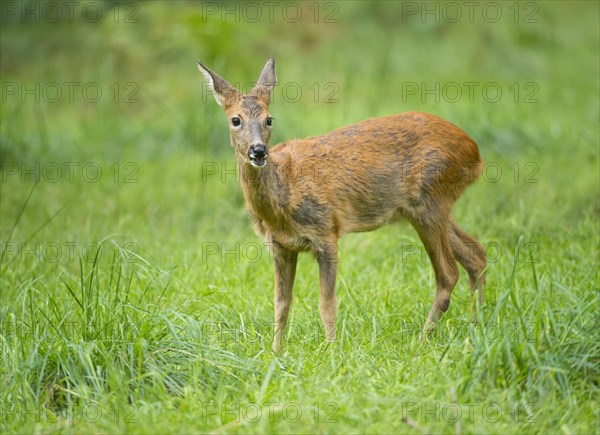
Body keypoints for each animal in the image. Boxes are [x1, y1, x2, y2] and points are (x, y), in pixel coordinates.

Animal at [198, 58, 488, 352]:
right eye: (236, 120)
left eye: (269, 119)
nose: (258, 151)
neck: (283, 199)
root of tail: (475, 153)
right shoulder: (281, 247)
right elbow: (281, 304)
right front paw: (275, 352)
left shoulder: (326, 232)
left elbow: (327, 304)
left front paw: (331, 350)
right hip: (428, 208)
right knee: (476, 254)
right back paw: (477, 326)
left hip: (429, 201)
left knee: (448, 273)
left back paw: (422, 340)